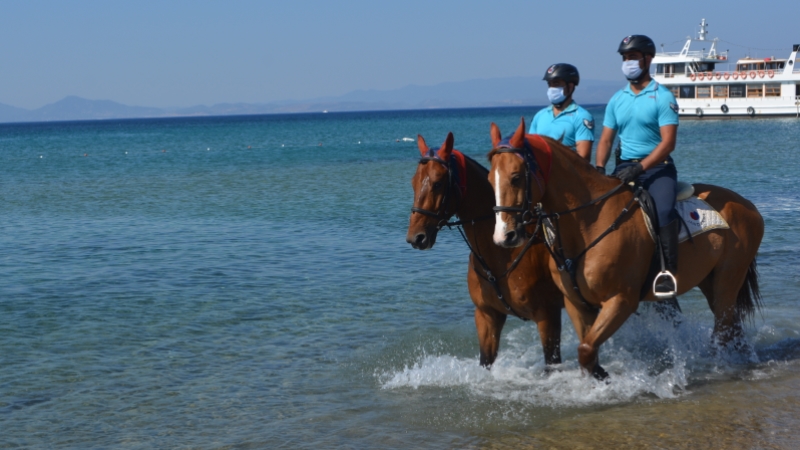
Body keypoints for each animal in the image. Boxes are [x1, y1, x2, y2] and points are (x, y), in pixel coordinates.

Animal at [406, 132, 564, 368]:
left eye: (438, 183)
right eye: (414, 182)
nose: (415, 237)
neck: (502, 253)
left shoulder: (548, 318)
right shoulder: (487, 316)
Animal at [488, 118, 764, 378]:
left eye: (515, 177)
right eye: (491, 180)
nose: (504, 236)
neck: (589, 222)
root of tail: (747, 204)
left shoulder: (621, 301)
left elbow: (586, 351)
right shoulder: (578, 304)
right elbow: (588, 352)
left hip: (727, 281)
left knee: (723, 330)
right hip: (710, 282)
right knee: (732, 330)